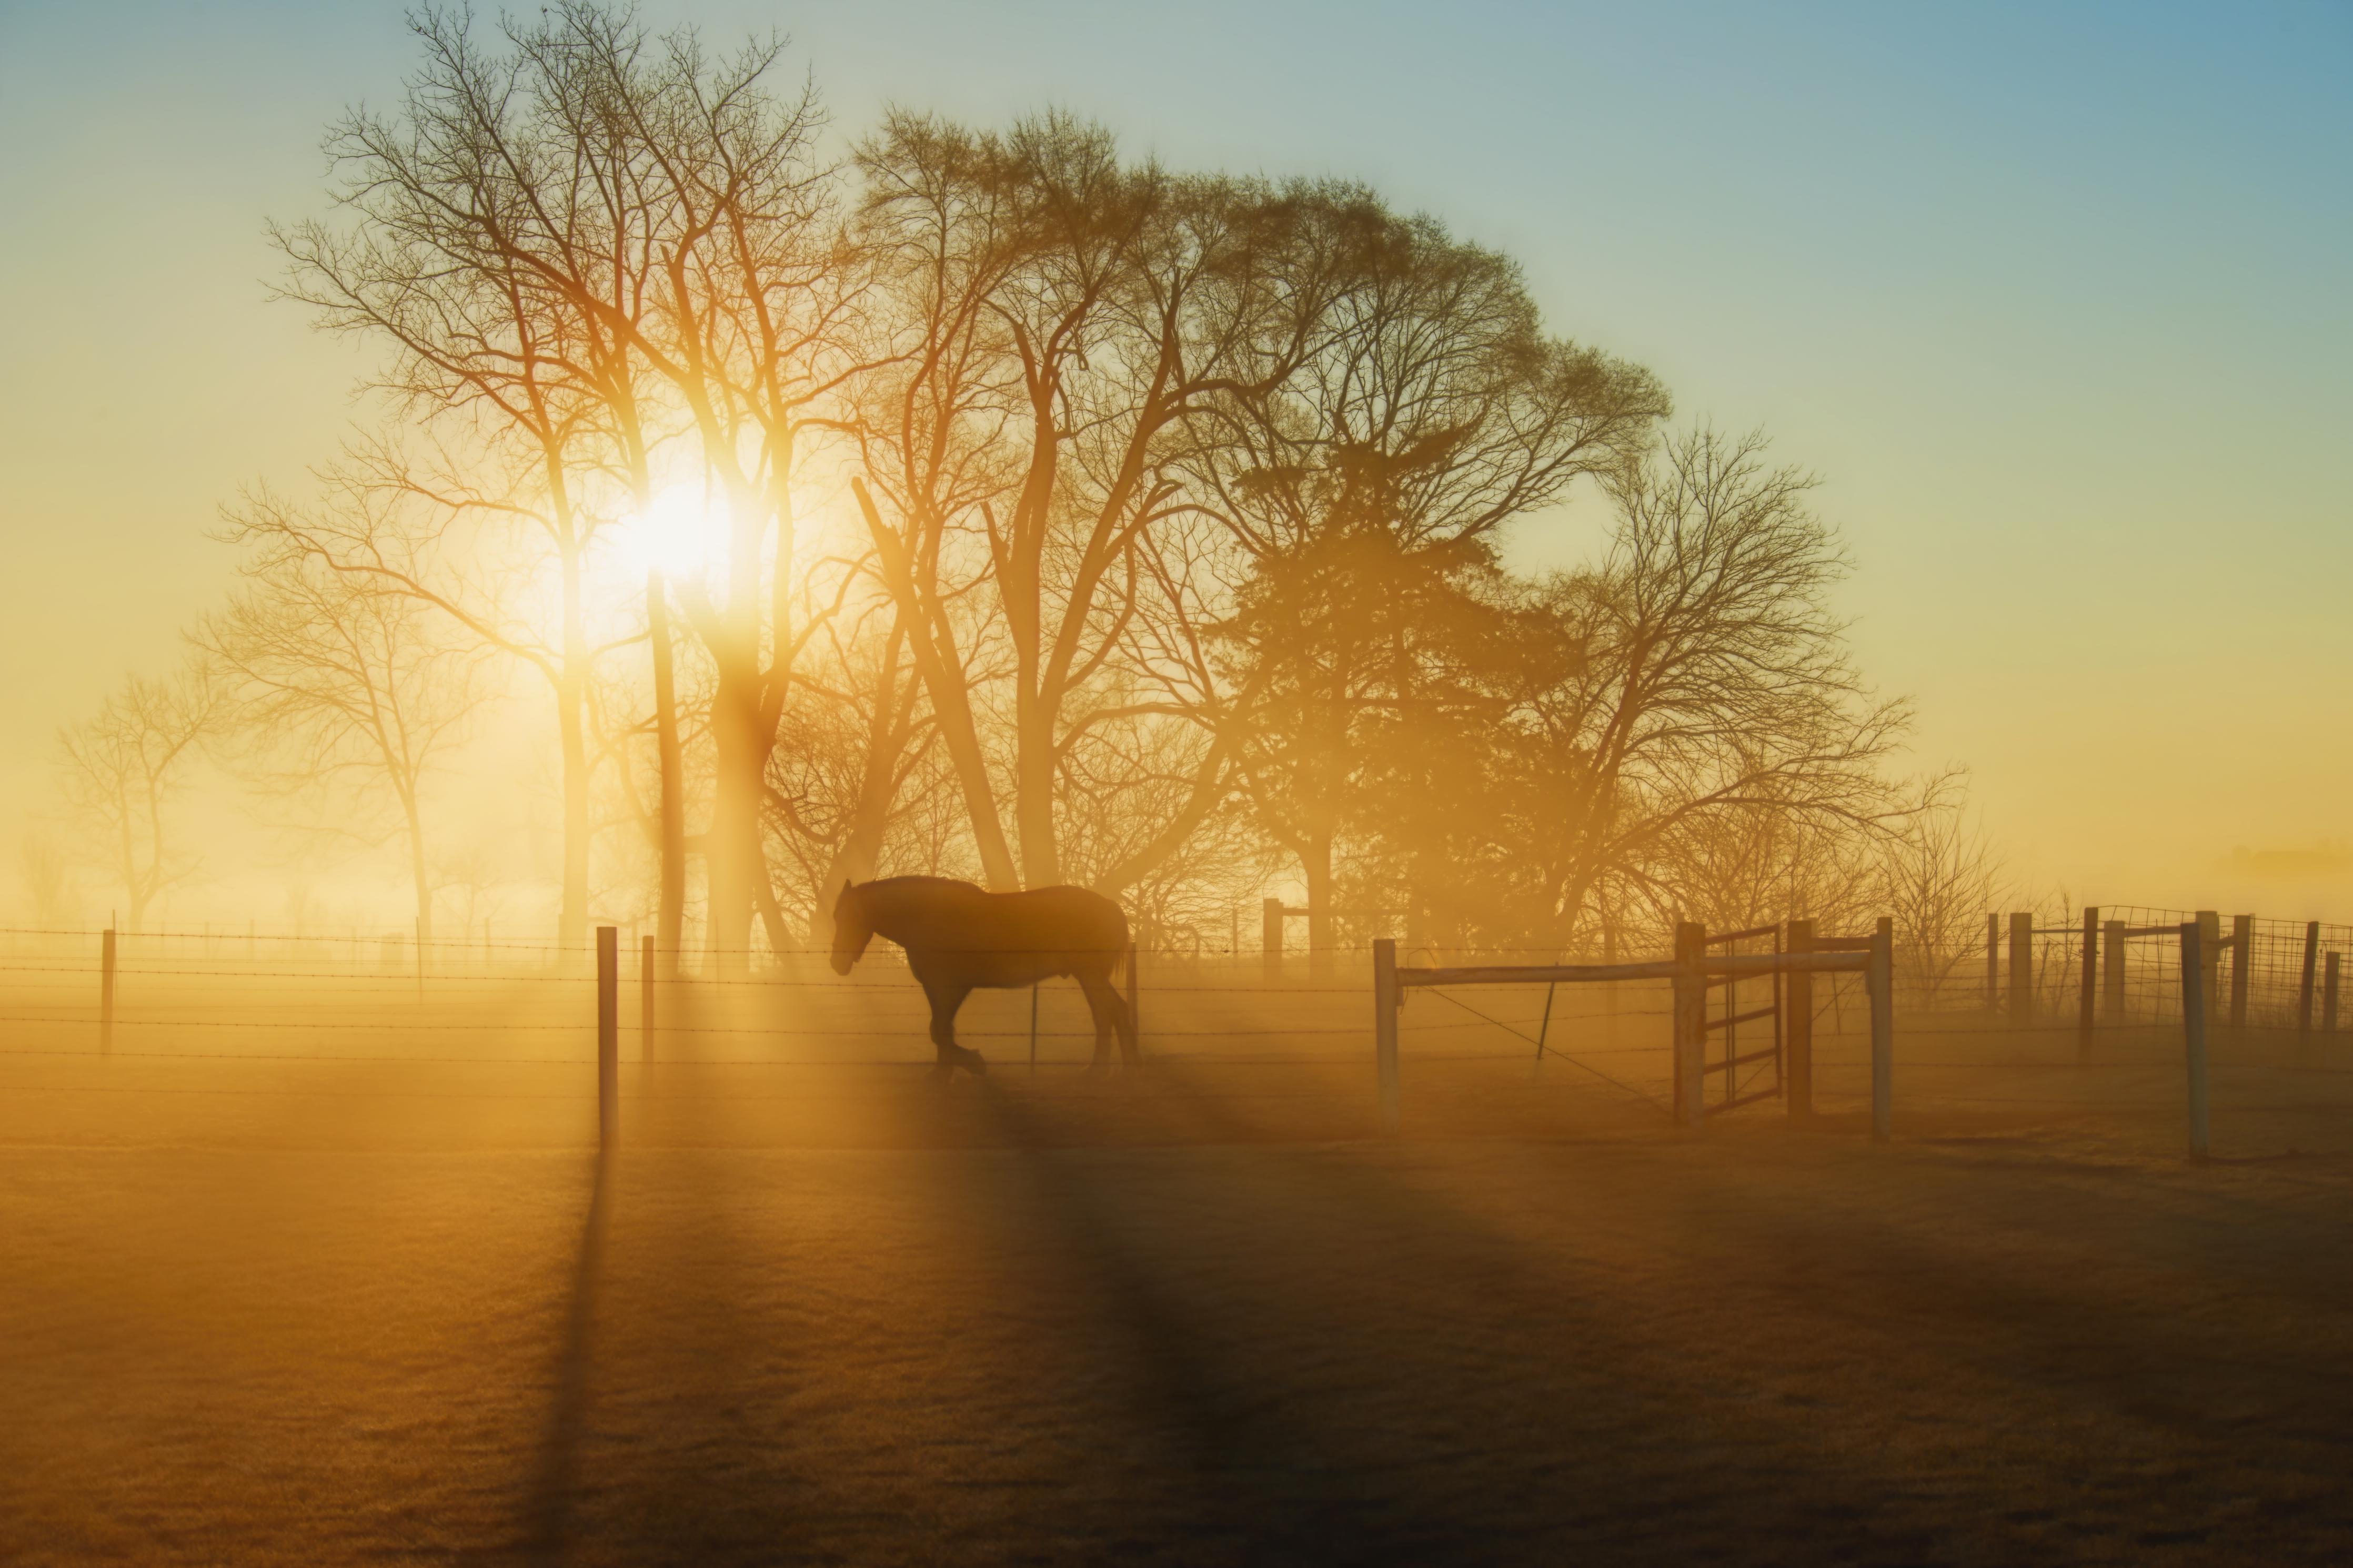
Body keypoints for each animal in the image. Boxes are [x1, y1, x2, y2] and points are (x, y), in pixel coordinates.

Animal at [830, 876, 1139, 1079]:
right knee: (1116, 1011)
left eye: (850, 917)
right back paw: (1123, 1068)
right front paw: (944, 1071)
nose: (836, 963)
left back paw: (1098, 1070)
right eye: (836, 917)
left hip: (1090, 975)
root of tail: (1111, 907)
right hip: (1090, 976)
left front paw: (968, 1065)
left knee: (1106, 1014)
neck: (929, 917)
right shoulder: (936, 987)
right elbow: (939, 1029)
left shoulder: (954, 986)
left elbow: (940, 1030)